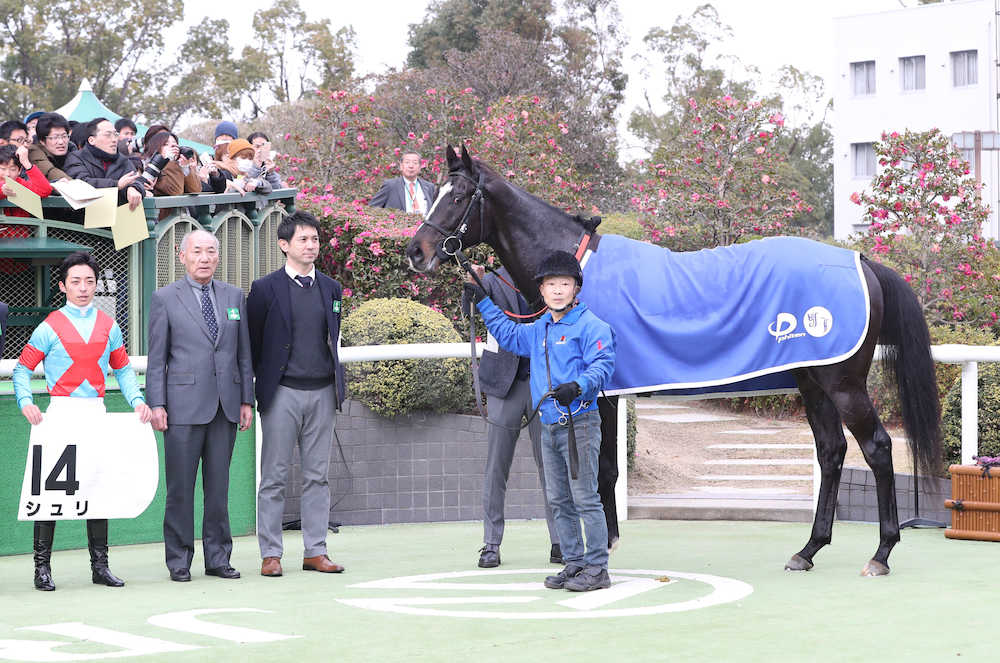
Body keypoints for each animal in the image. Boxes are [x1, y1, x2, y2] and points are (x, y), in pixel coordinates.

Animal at [406, 144, 942, 576]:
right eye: (434, 191)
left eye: (458, 196)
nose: (415, 251)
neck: (576, 272)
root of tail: (861, 261)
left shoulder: (599, 393)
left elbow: (601, 471)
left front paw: (601, 547)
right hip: (813, 384)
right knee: (831, 454)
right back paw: (807, 551)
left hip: (843, 384)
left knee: (876, 448)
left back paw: (880, 554)